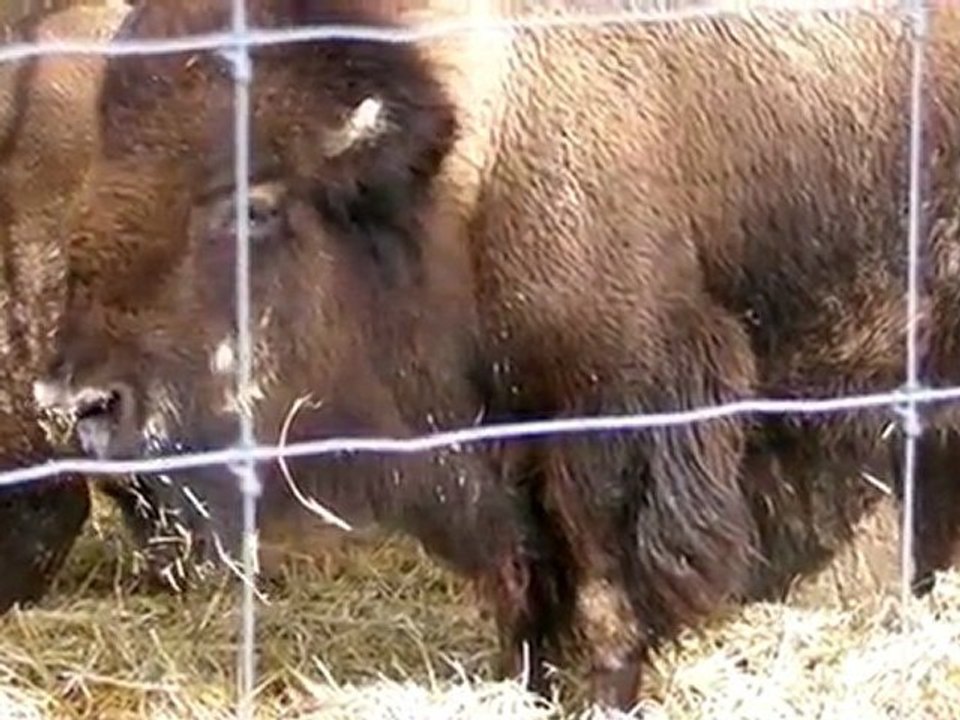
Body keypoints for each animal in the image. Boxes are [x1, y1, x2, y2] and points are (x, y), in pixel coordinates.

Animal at [33, 0, 960, 710]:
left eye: (253, 205)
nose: (79, 401)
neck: (463, 170)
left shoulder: (614, 419)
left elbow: (605, 592)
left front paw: (602, 694)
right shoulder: (499, 451)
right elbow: (525, 584)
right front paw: (525, 682)